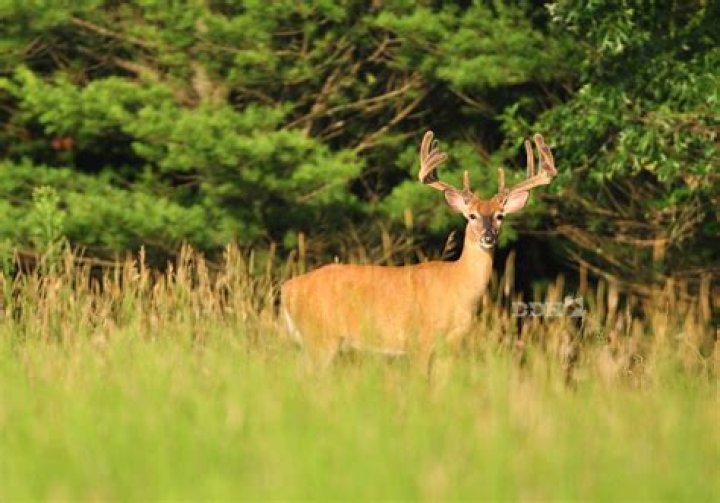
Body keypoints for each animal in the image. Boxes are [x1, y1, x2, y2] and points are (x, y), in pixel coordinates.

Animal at [280, 130, 557, 366]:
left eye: (500, 216)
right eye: (472, 216)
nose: (488, 237)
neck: (457, 286)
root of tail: (287, 289)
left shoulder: (452, 344)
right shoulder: (420, 340)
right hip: (320, 339)